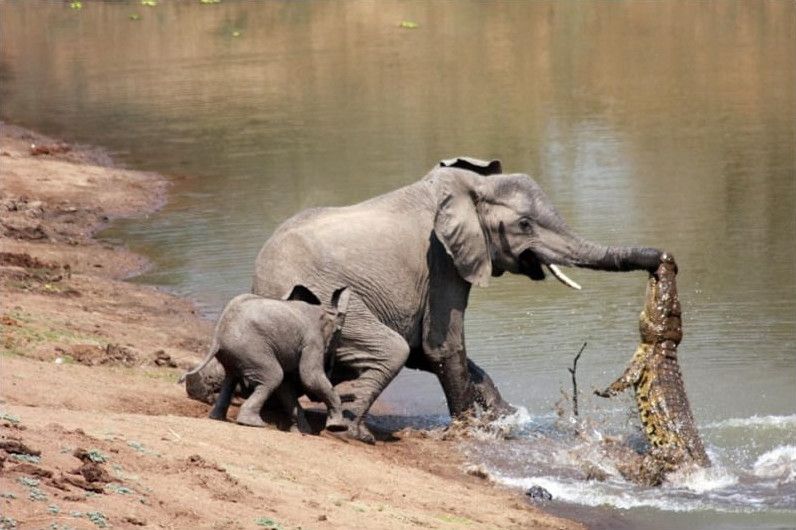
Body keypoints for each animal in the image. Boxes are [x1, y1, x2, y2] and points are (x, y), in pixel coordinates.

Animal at [185, 284, 352, 428]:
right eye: (337, 336)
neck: (324, 310)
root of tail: (217, 336)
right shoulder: (312, 341)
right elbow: (309, 378)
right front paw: (337, 427)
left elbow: (287, 386)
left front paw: (303, 431)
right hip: (251, 348)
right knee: (273, 376)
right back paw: (253, 423)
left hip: (235, 352)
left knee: (231, 378)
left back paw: (217, 418)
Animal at [252, 157, 664, 442]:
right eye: (524, 225)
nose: (663, 260)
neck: (470, 186)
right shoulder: (442, 261)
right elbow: (441, 347)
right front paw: (471, 429)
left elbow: (429, 352)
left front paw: (505, 417)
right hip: (324, 301)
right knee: (391, 349)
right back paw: (354, 432)